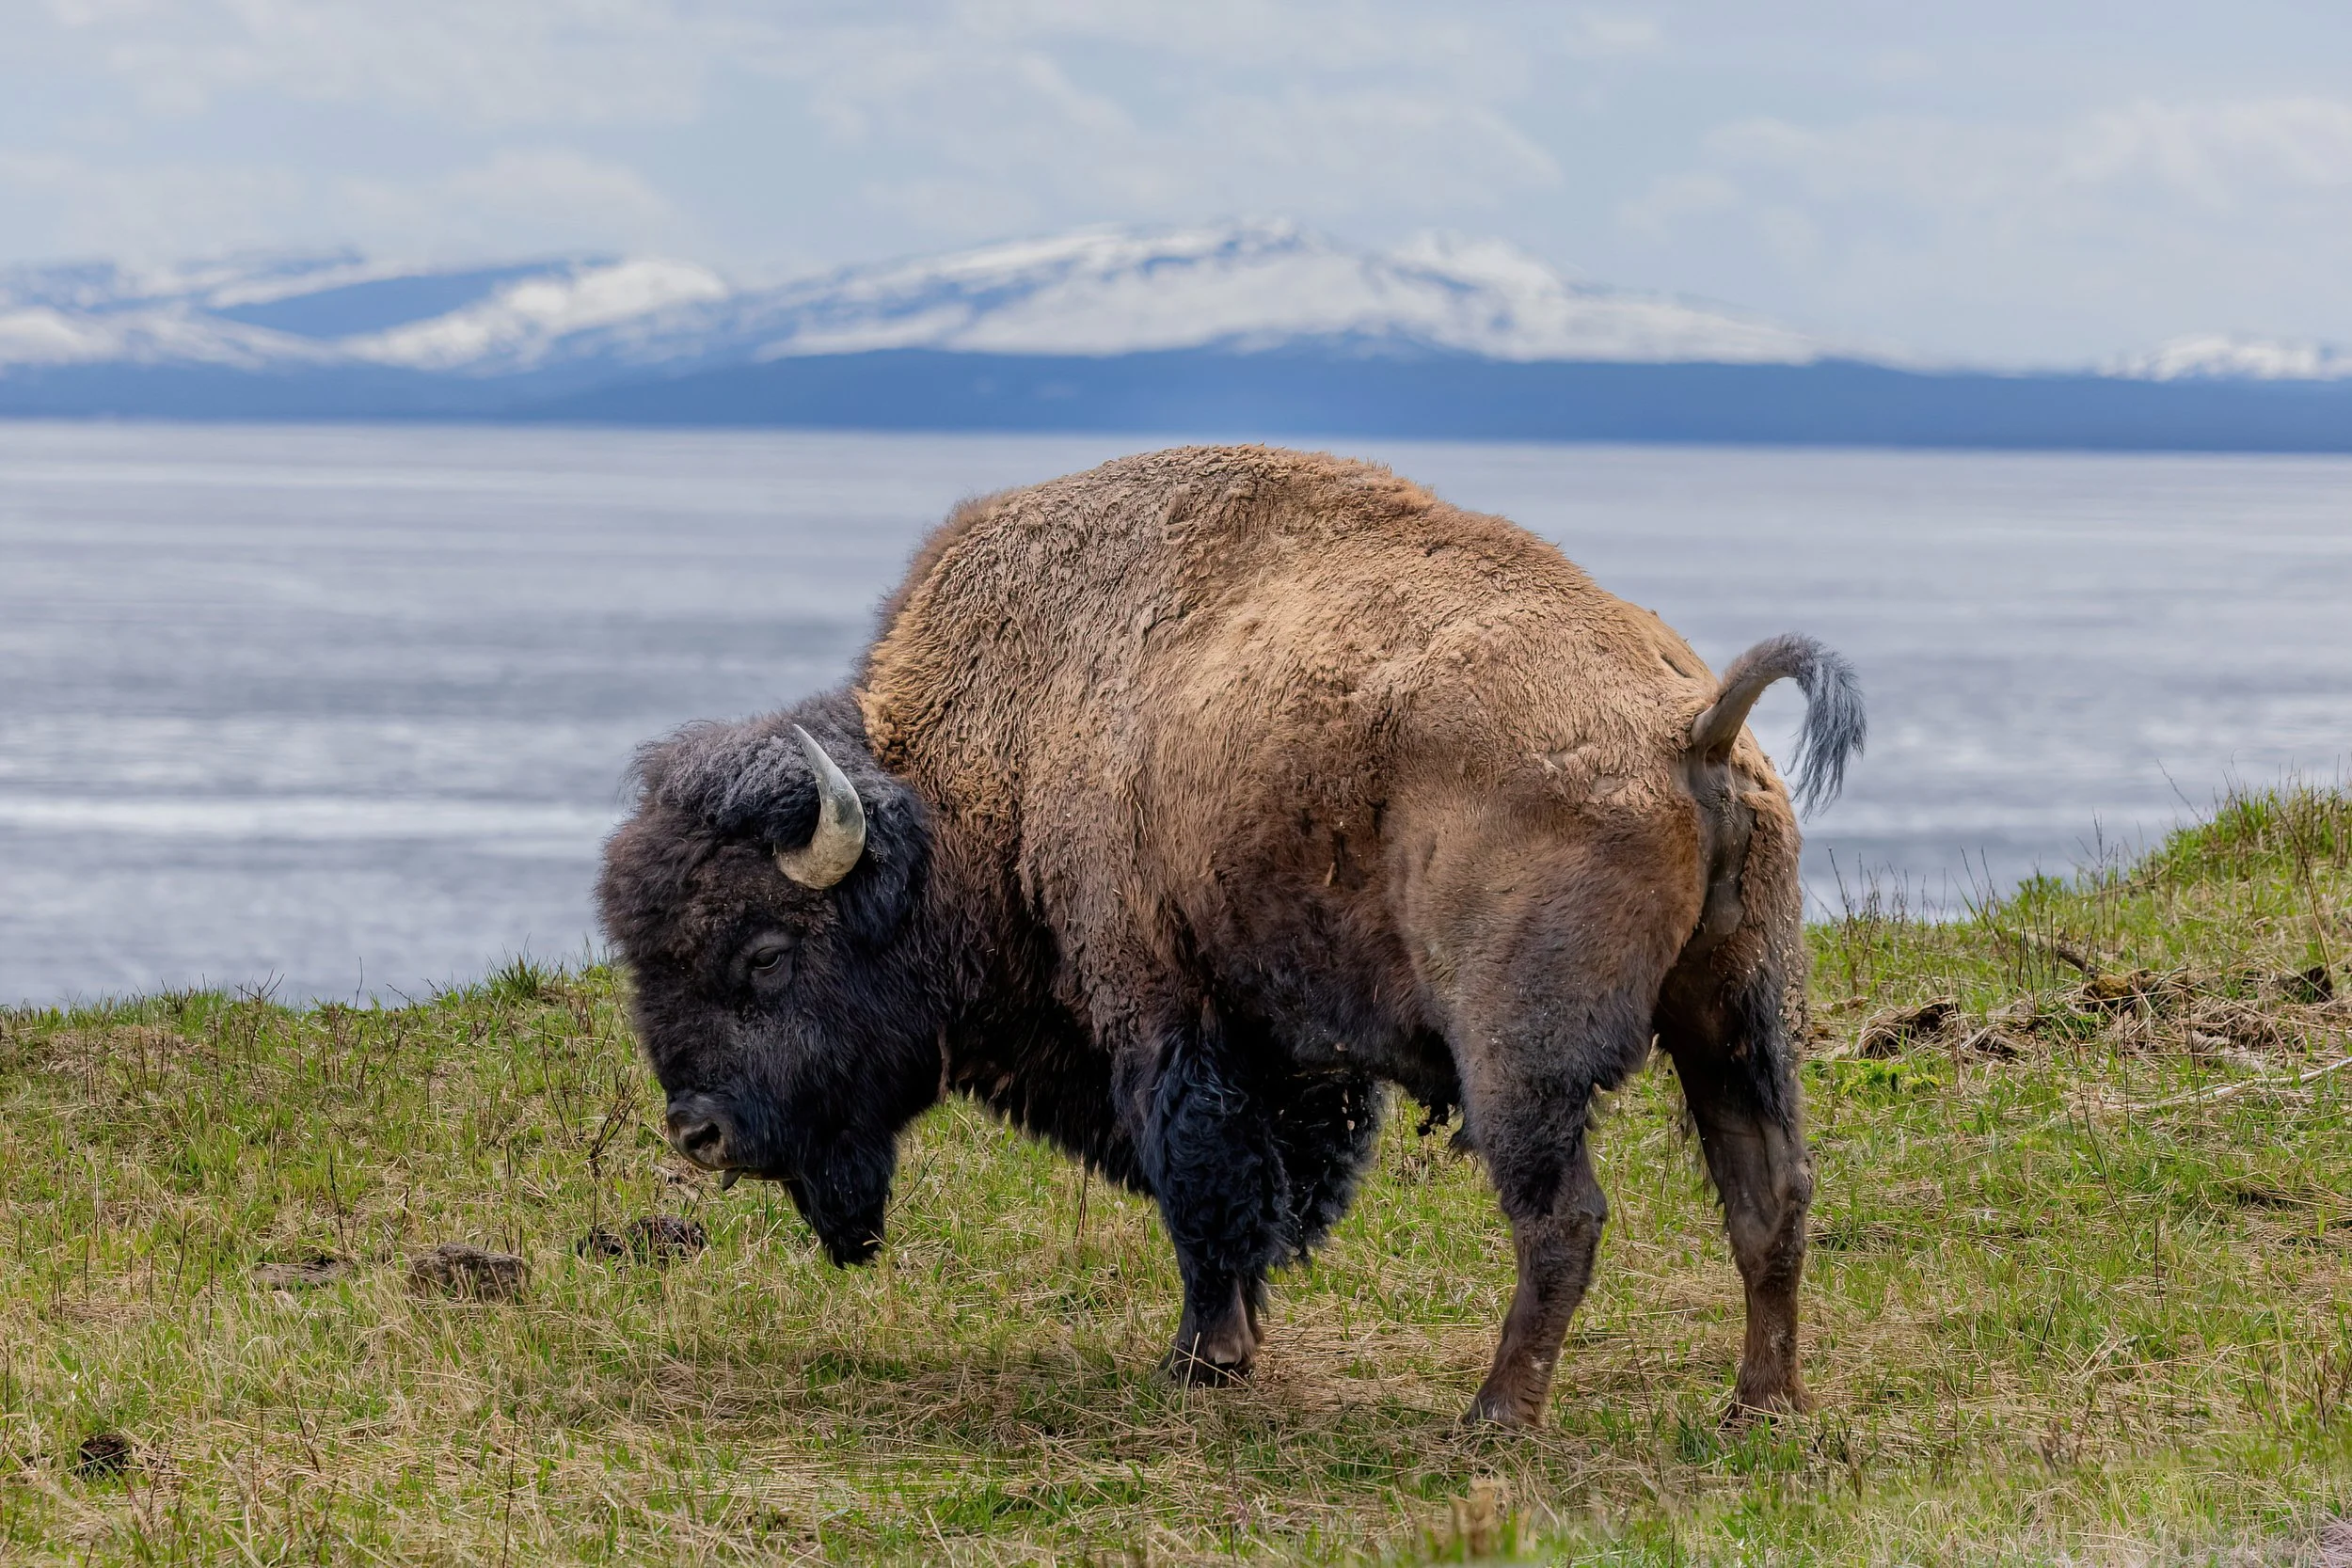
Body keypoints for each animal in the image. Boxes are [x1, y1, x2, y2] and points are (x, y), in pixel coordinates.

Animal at [597, 446, 1862, 1426]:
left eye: (766, 954)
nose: (697, 1131)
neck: (975, 780)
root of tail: (1685, 725)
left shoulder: (1163, 1018)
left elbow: (1203, 1186)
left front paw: (1201, 1358)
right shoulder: (1284, 1053)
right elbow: (1268, 1192)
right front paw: (1235, 1339)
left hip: (1524, 1058)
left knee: (1563, 1217)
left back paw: (1495, 1413)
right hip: (1735, 1019)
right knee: (1770, 1195)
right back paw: (1761, 1405)